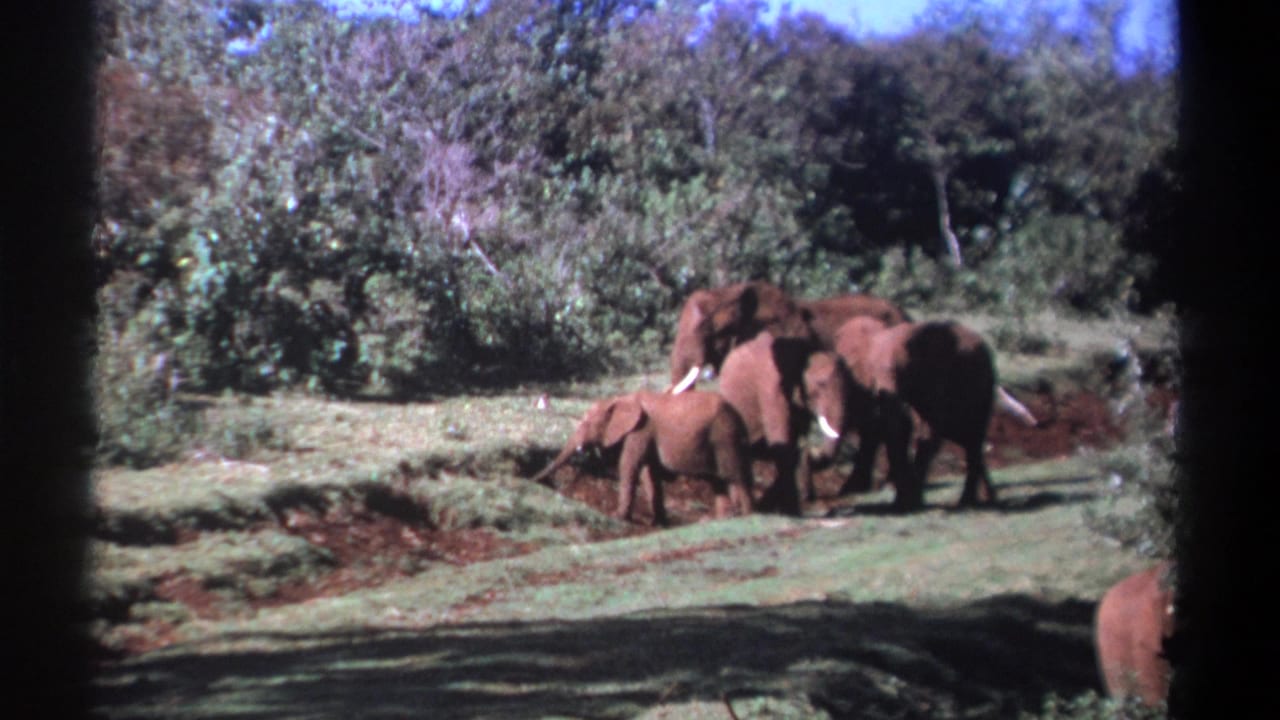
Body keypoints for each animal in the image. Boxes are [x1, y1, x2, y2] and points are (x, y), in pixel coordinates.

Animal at [530, 390, 754, 526]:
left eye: (587, 424)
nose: (536, 480)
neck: (620, 399)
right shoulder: (646, 435)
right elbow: (650, 473)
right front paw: (658, 523)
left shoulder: (640, 430)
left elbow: (629, 466)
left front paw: (618, 517)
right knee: (719, 480)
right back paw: (721, 520)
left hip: (724, 436)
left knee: (735, 475)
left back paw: (747, 515)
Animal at [716, 332, 851, 515]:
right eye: (821, 384)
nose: (814, 451)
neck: (803, 351)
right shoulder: (770, 388)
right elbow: (782, 443)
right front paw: (789, 511)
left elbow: (793, 445)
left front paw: (791, 508)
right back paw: (735, 512)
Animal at [831, 316, 1027, 510]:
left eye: (904, 369)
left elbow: (900, 427)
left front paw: (905, 500)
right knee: (968, 438)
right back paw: (980, 499)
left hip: (979, 382)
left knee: (966, 434)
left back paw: (965, 501)